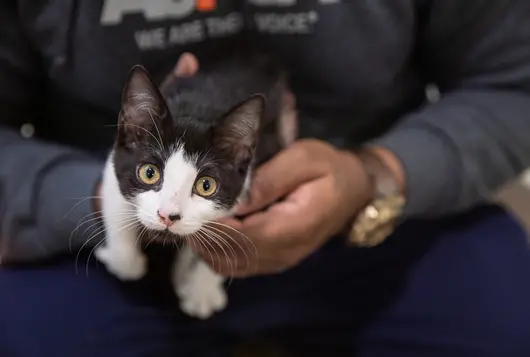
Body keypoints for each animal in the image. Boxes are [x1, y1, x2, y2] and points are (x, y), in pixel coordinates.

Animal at [93, 52, 294, 318]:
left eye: (206, 186)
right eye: (149, 173)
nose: (167, 215)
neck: (197, 110)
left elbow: (228, 243)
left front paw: (201, 290)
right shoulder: (115, 163)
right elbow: (117, 206)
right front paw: (121, 259)